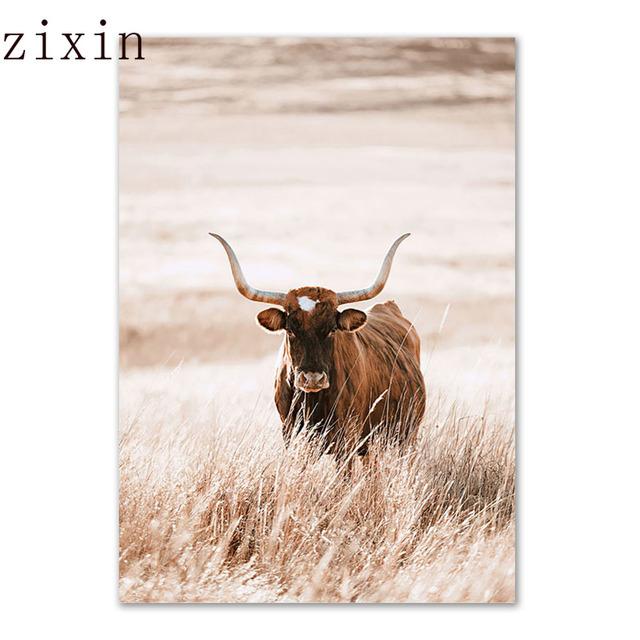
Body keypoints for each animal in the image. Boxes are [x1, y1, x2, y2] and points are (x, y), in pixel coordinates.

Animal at [210, 233, 426, 462]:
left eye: (332, 330)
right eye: (290, 330)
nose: (312, 379)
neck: (312, 402)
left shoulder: (346, 440)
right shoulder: (291, 435)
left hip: (405, 437)